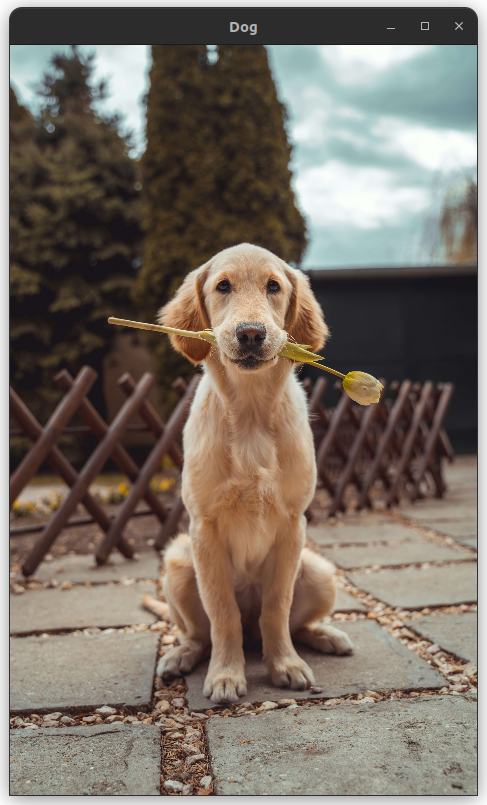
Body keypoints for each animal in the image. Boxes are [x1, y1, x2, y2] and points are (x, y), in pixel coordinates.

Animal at [147, 242, 352, 700]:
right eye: (223, 286)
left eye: (273, 287)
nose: (252, 334)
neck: (253, 414)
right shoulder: (203, 529)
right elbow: (222, 614)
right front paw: (226, 675)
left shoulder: (293, 525)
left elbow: (277, 608)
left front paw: (285, 665)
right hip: (178, 562)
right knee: (201, 633)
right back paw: (180, 656)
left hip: (319, 571)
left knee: (289, 623)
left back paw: (325, 636)